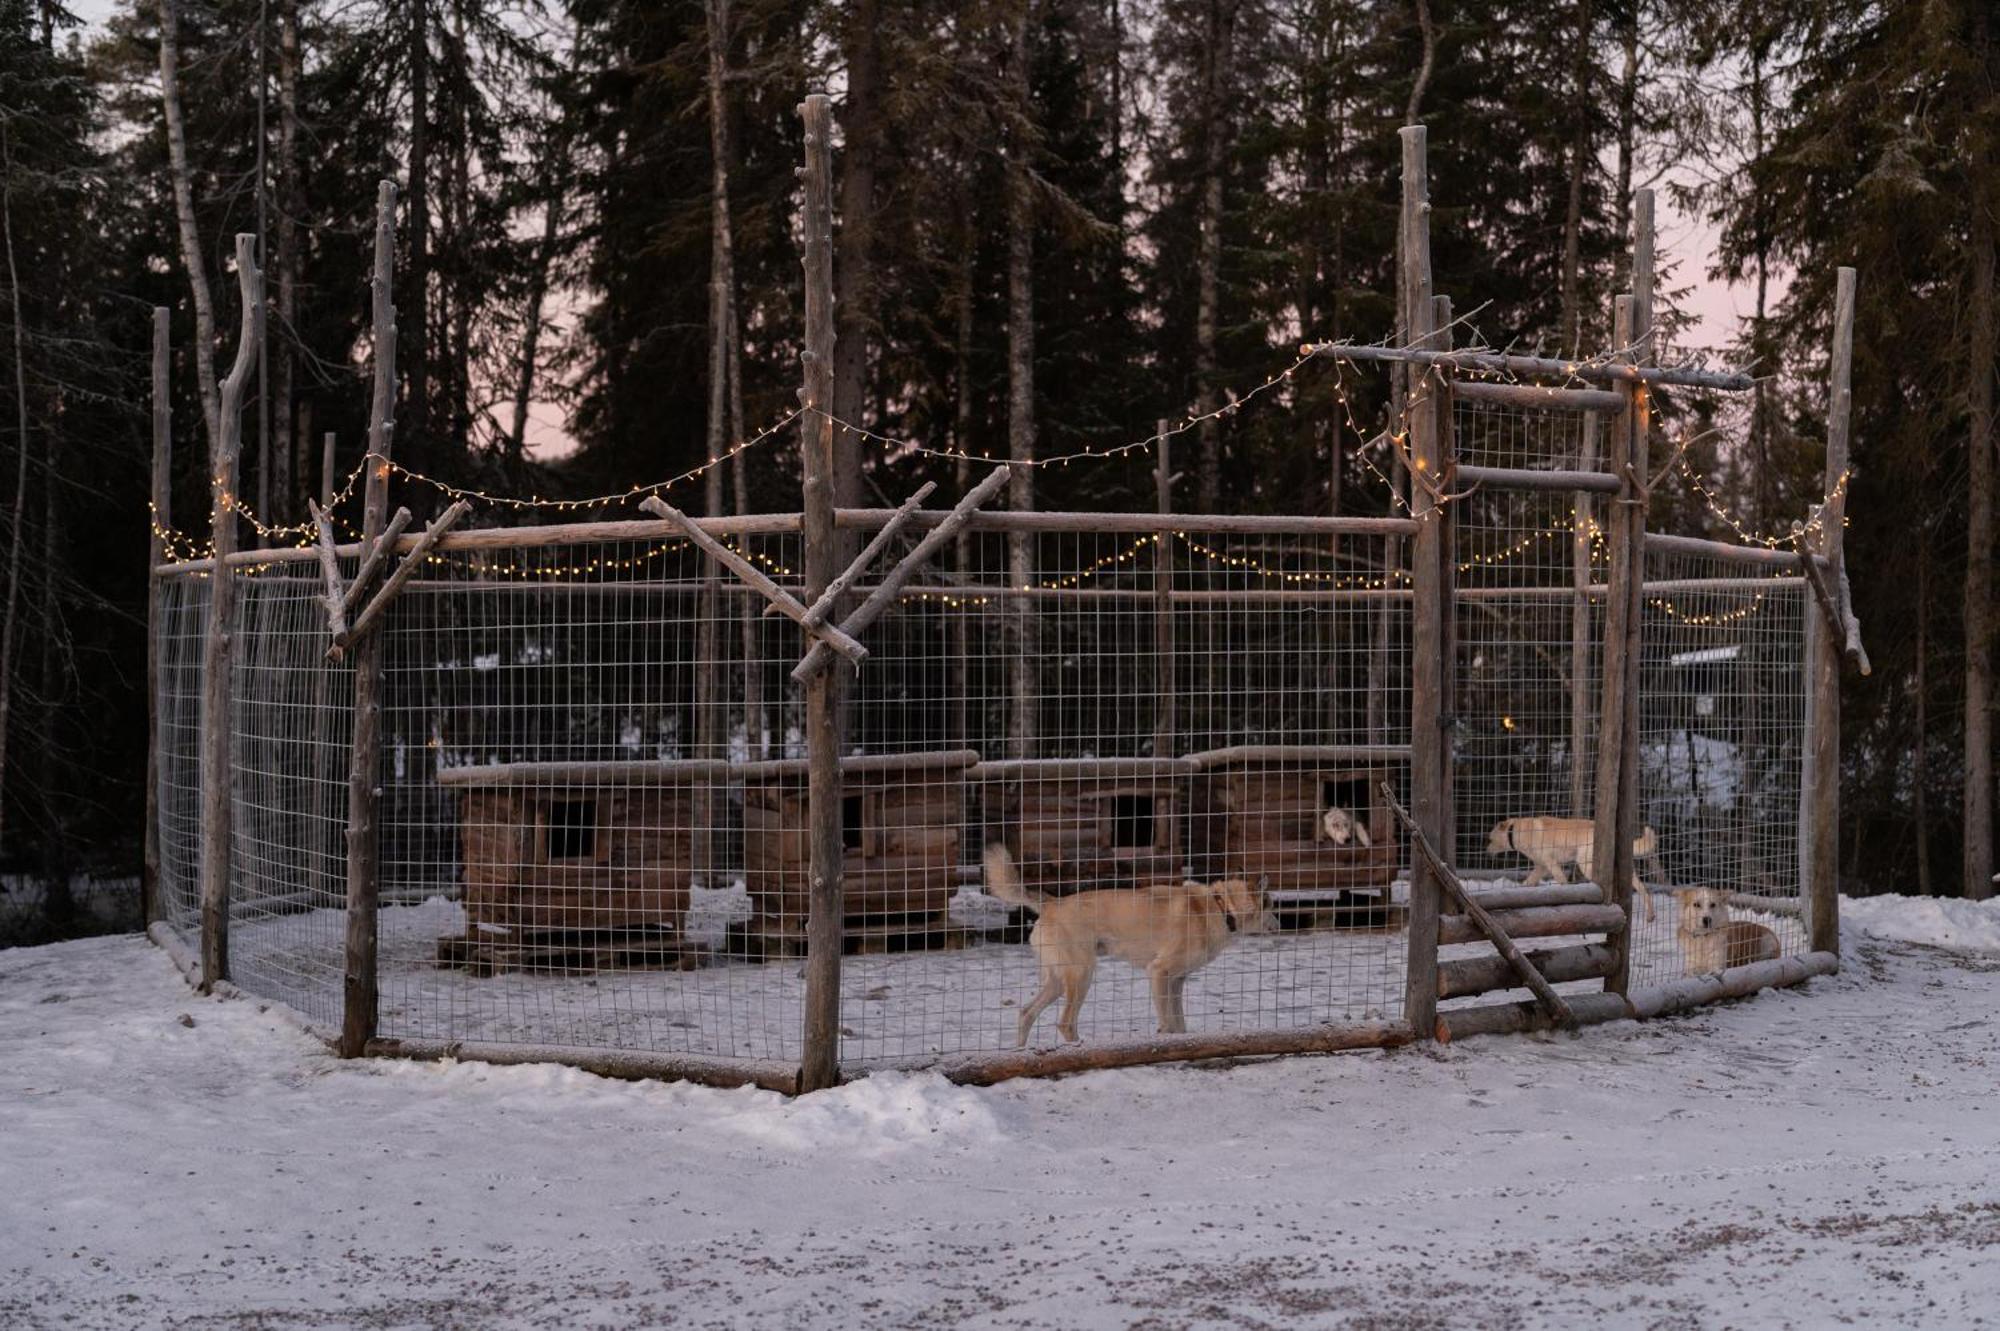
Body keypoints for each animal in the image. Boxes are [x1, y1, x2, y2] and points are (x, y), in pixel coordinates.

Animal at [988, 839, 1280, 1047]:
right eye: (1272, 906)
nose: (1280, 925)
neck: (1220, 907)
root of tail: (1051, 902)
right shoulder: (1159, 973)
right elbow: (1169, 1024)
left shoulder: (1176, 981)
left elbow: (1180, 1026)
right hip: (1081, 975)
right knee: (1065, 1023)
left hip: (1058, 981)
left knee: (1026, 1013)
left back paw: (1020, 1052)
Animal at [1488, 815, 1656, 919]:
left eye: (1490, 839)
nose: (1486, 850)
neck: (1514, 830)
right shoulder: (1541, 867)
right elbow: (1527, 883)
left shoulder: (1551, 863)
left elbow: (1562, 882)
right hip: (1627, 872)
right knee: (1643, 889)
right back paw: (1650, 916)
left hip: (1585, 864)